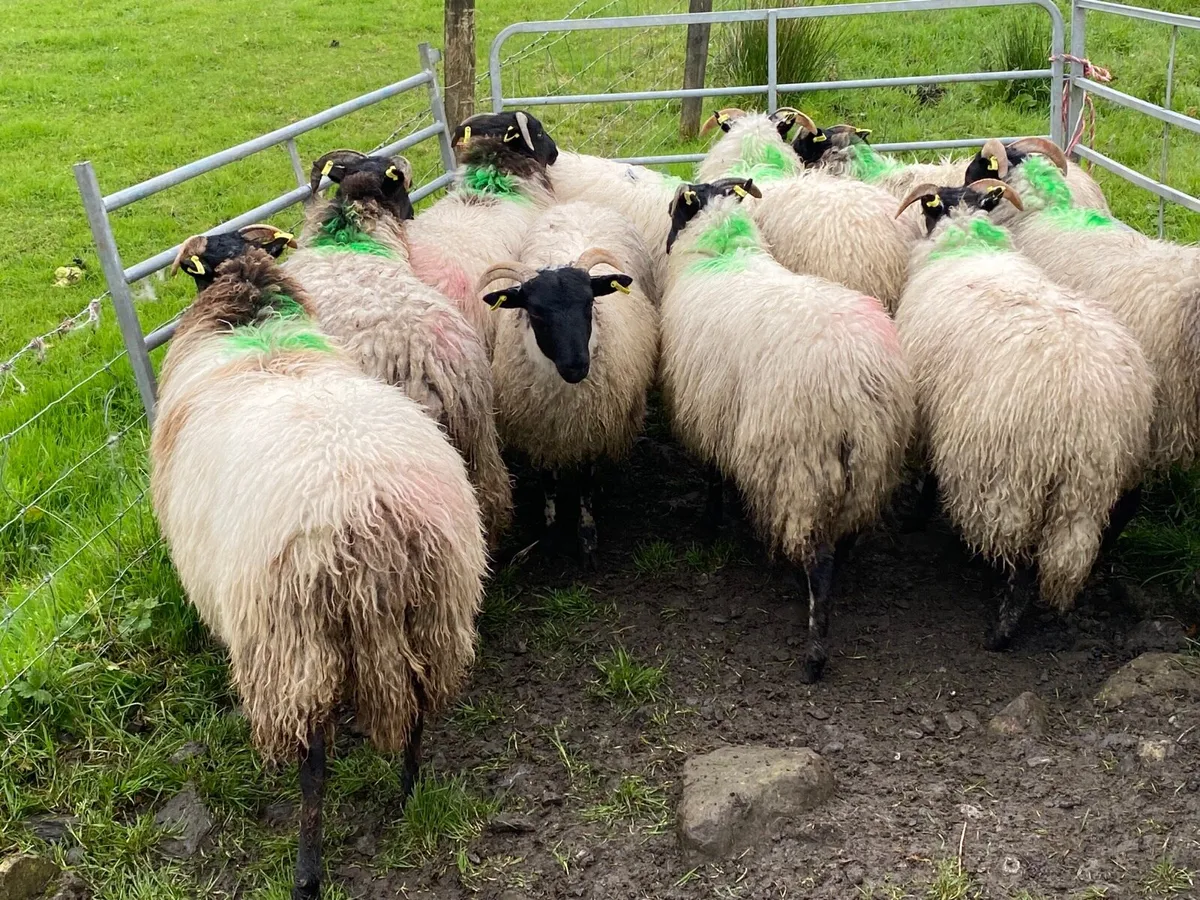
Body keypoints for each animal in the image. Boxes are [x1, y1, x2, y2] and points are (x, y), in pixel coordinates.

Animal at [154, 227, 485, 900]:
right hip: (435, 613)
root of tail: (375, 530)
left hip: (296, 643)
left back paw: (307, 869)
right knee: (418, 711)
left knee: (313, 765)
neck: (254, 326)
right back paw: (408, 794)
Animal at [283, 149, 512, 545]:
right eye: (404, 186)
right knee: (494, 495)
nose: (411, 215)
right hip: (480, 436)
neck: (348, 236)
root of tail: (437, 365)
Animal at [477, 202, 659, 563]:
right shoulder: (541, 434)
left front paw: (586, 535)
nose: (577, 367)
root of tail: (581, 204)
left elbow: (586, 483)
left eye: (589, 303)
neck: (564, 401)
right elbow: (548, 483)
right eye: (535, 312)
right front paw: (549, 532)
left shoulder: (592, 429)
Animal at [661, 176, 915, 681]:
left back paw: (815, 652)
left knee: (820, 558)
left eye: (675, 211)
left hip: (803, 465)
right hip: (870, 464)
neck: (722, 250)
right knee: (847, 535)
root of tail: (858, 384)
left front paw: (709, 525)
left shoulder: (707, 411)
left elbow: (713, 477)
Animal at [894, 179, 1153, 648]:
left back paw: (1004, 626)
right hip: (1110, 469)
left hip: (1012, 476)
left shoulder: (929, 410)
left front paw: (915, 519)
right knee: (1102, 524)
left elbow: (929, 475)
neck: (969, 241)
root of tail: (1092, 413)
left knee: (1020, 552)